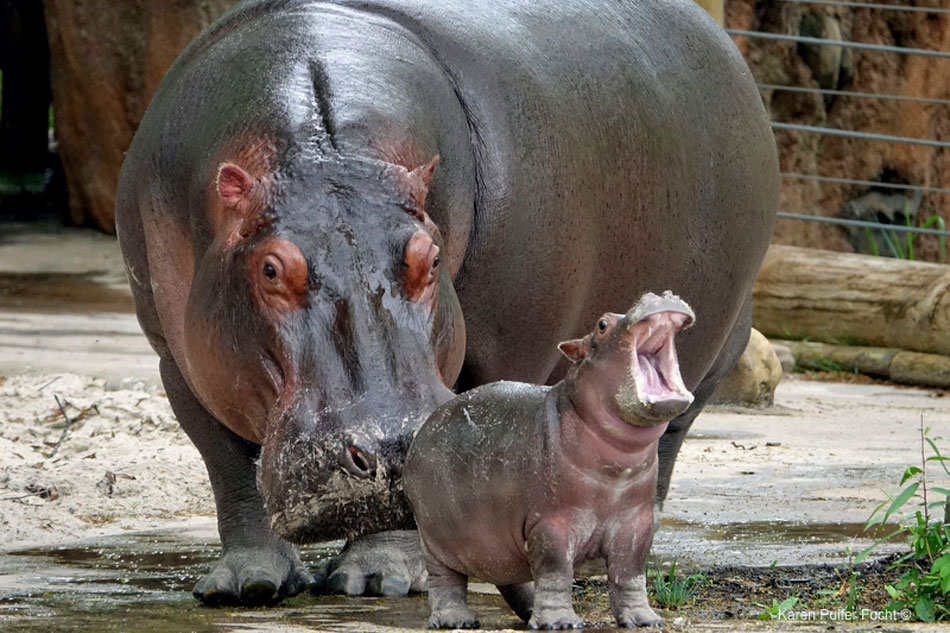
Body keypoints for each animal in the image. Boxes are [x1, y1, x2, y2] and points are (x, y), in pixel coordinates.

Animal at [406, 292, 696, 628]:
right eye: (602, 324)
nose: (658, 296)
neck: (617, 467)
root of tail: (423, 430)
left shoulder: (636, 524)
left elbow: (630, 574)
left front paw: (645, 620)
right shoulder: (550, 524)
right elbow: (556, 572)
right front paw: (559, 623)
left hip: (499, 544)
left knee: (513, 580)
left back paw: (529, 612)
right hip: (434, 542)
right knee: (445, 581)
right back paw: (457, 621)